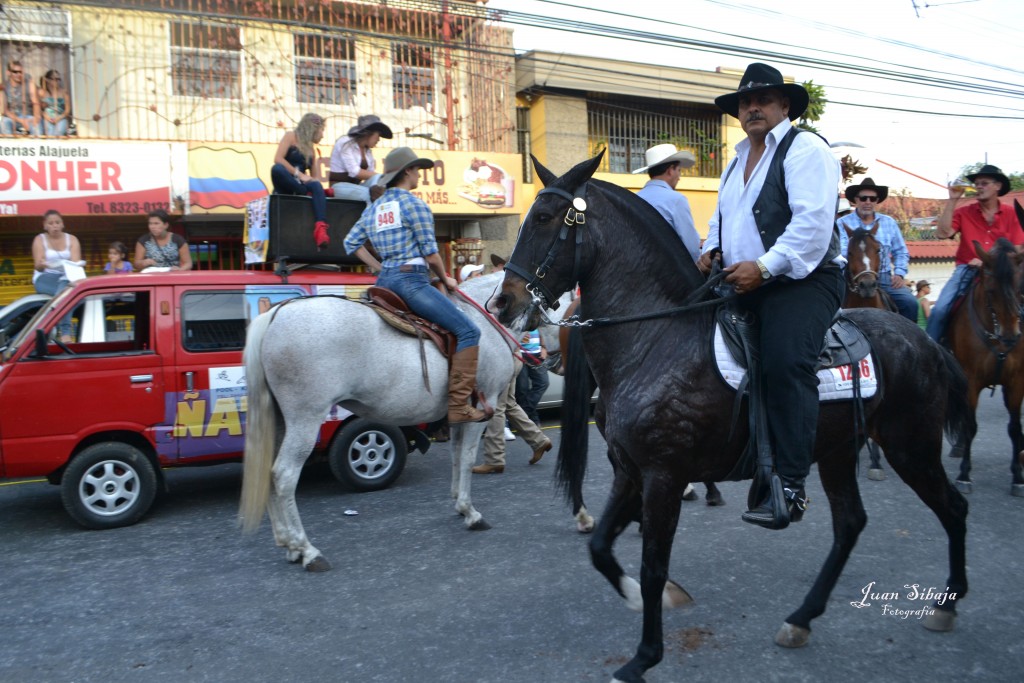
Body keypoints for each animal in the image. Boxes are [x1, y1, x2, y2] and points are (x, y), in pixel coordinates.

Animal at [240, 272, 520, 573]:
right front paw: (471, 513)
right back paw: (306, 550)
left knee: (268, 471)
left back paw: (288, 543)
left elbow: (457, 457)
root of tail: (275, 314)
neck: (483, 320)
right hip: (305, 418)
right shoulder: (483, 406)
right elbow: (467, 458)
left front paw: (459, 503)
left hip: (279, 420)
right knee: (284, 475)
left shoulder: (460, 414)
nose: (507, 303)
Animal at [495, 154, 974, 683]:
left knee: (953, 508)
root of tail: (925, 340)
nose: (502, 302)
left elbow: (652, 566)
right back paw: (801, 618)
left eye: (543, 219)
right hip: (838, 451)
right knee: (851, 523)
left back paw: (947, 604)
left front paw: (644, 655)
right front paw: (646, 600)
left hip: (911, 446)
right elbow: (601, 547)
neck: (657, 339)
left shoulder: (663, 476)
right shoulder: (630, 471)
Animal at [942, 236, 1024, 497]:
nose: (1011, 336)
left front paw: (1017, 477)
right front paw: (964, 475)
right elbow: (970, 425)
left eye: (1019, 289)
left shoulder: (1016, 382)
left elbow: (1014, 428)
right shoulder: (971, 380)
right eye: (990, 291)